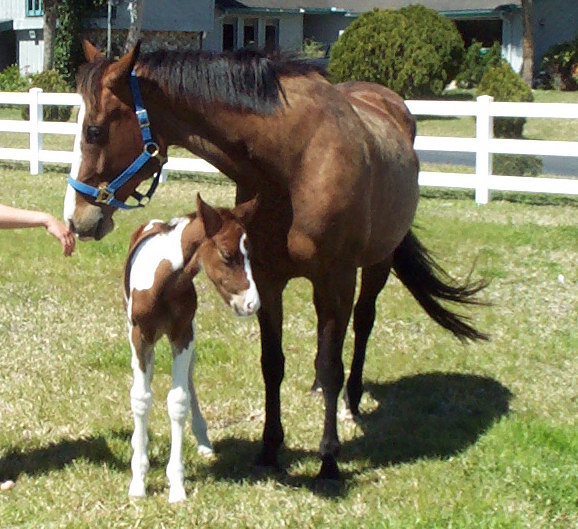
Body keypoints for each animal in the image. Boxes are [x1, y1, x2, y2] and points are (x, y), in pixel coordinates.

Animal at [124, 194, 258, 500]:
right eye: (227, 254)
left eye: (250, 253)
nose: (252, 304)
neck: (163, 283)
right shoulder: (140, 335)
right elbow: (141, 398)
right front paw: (138, 481)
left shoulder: (183, 335)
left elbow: (179, 400)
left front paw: (176, 486)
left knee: (189, 378)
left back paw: (203, 440)